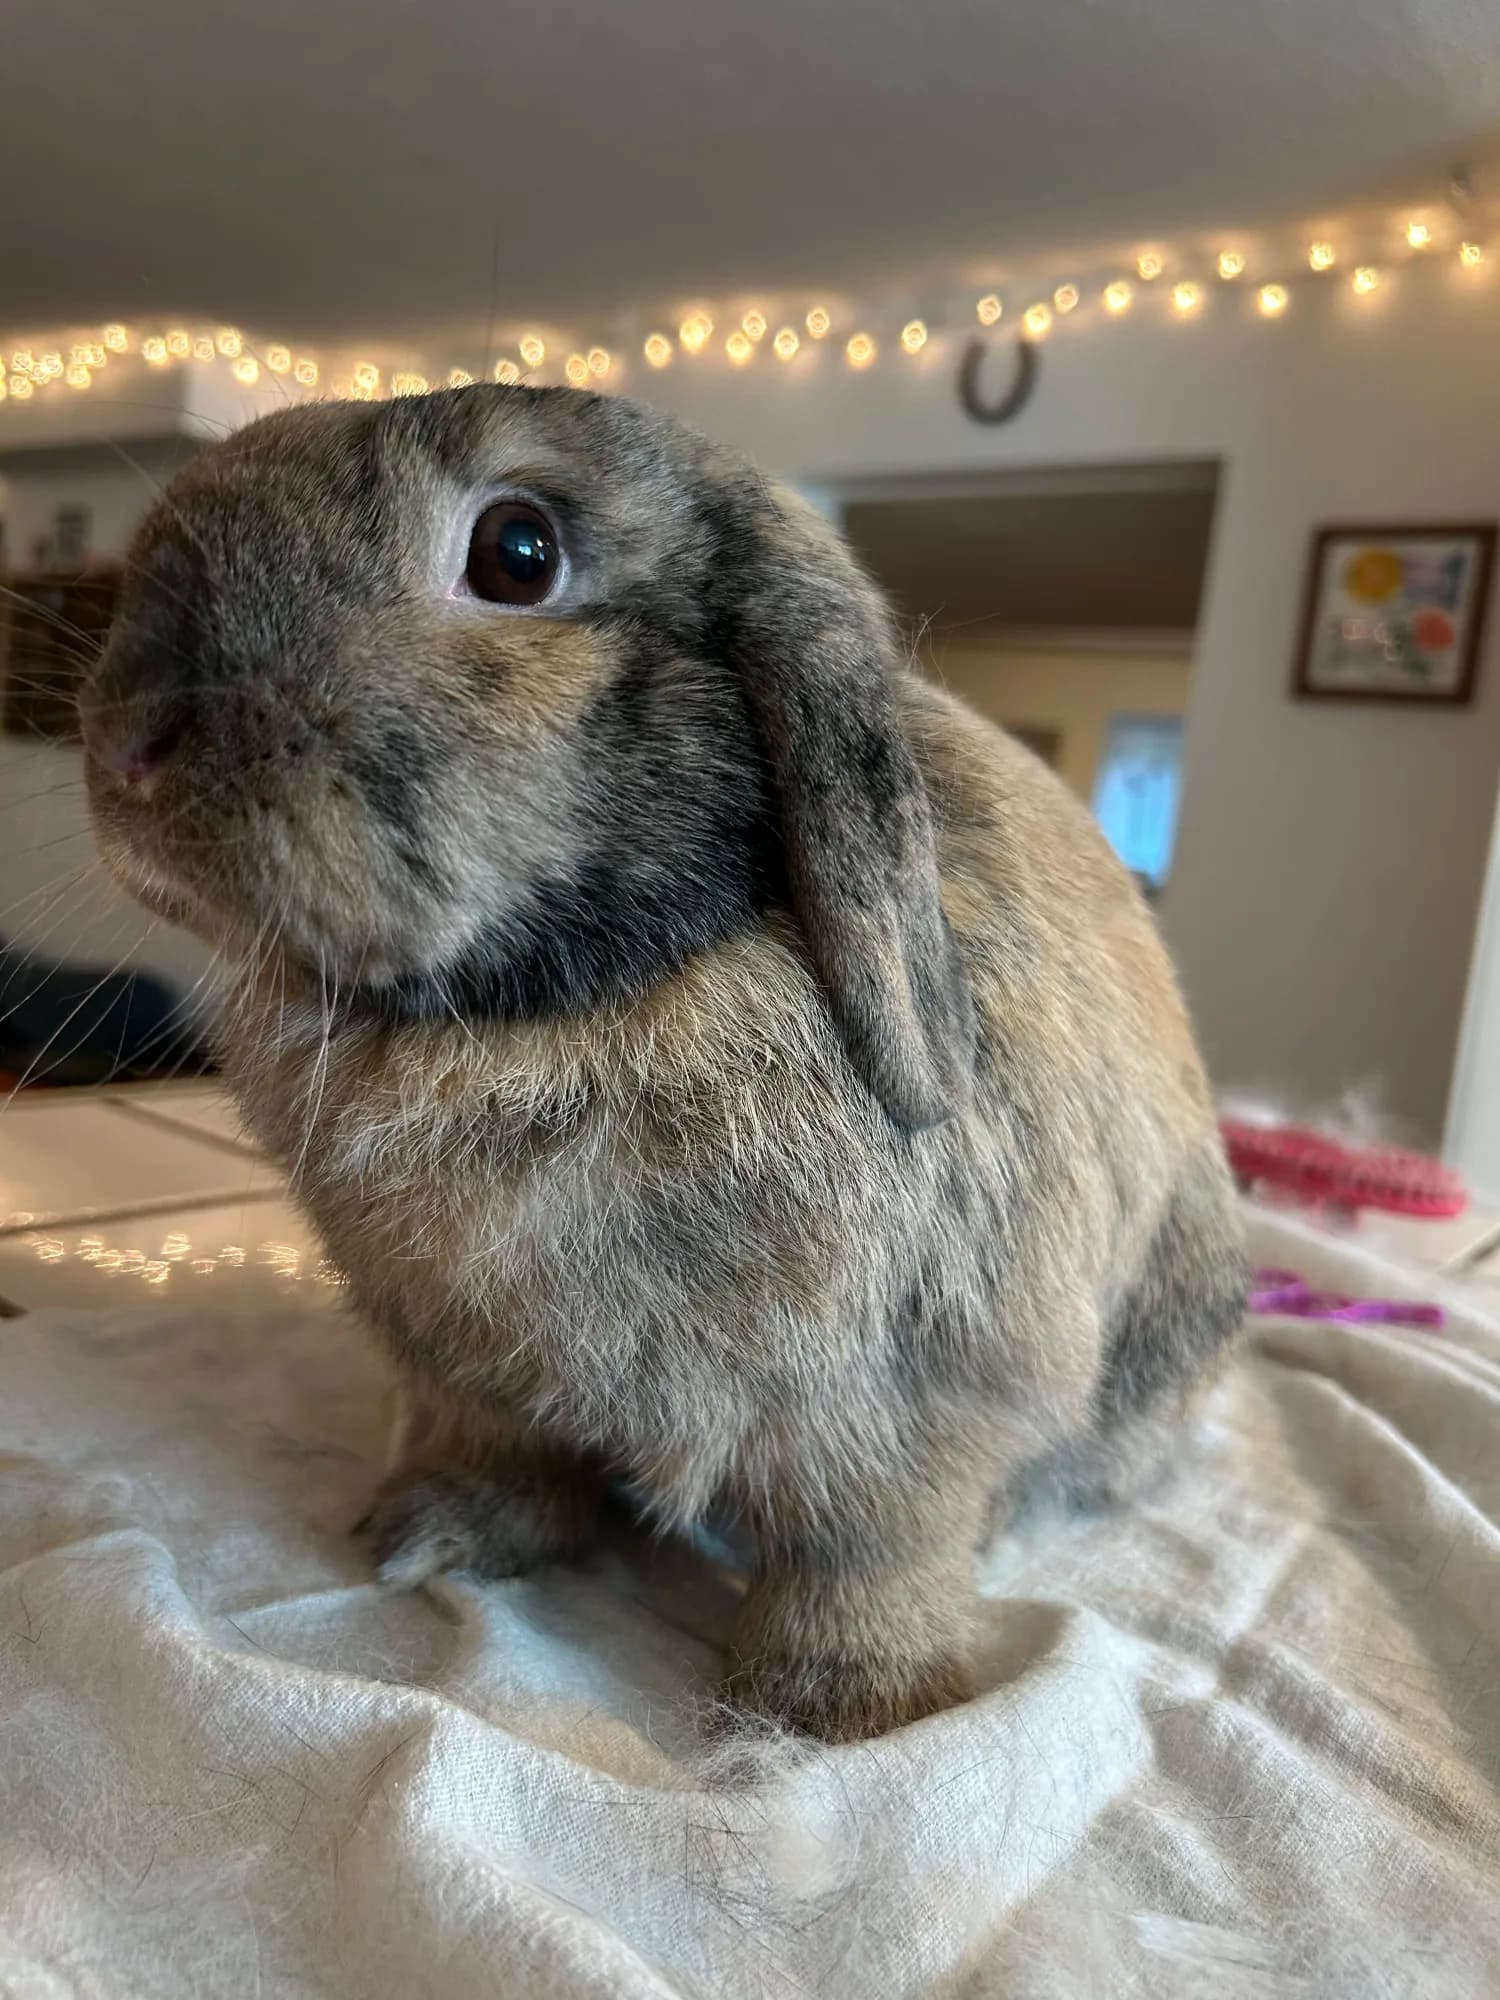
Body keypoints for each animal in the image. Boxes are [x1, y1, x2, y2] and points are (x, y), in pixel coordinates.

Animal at [81, 383, 1246, 1742]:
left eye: (517, 553)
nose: (124, 741)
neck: (553, 1013)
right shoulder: (470, 1368)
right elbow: (502, 1454)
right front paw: (432, 1538)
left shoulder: (921, 1393)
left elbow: (871, 1547)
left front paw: (837, 1707)